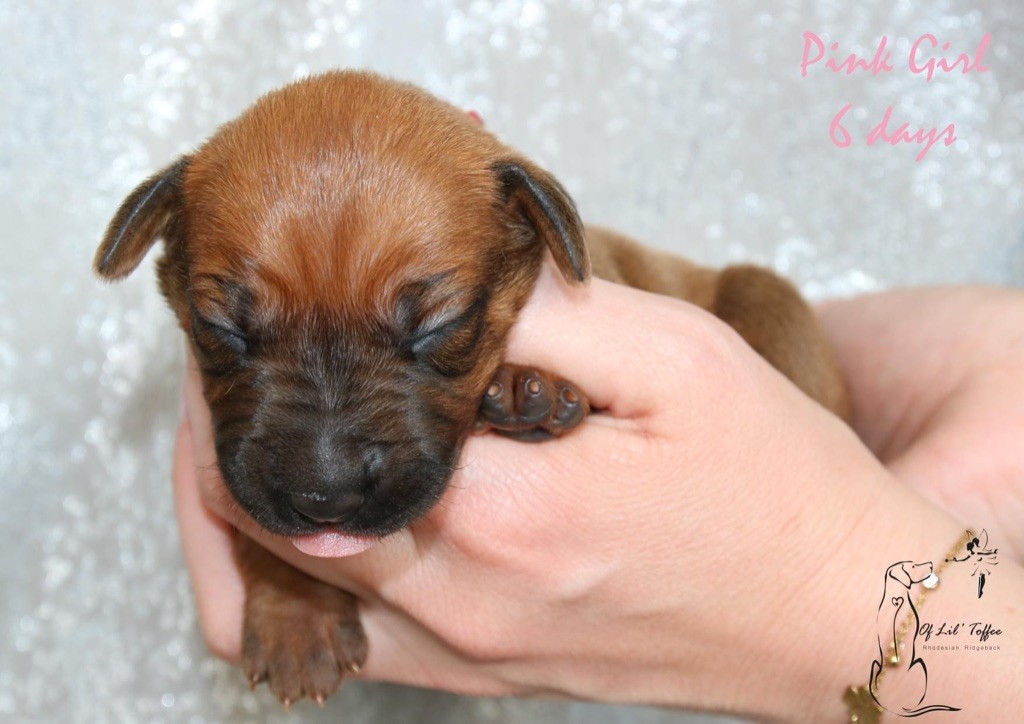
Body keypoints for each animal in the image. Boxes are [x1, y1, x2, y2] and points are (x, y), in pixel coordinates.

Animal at [94, 70, 848, 706]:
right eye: (220, 328)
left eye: (442, 325)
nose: (326, 494)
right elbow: (260, 532)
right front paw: (295, 619)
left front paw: (523, 390)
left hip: (765, 294)